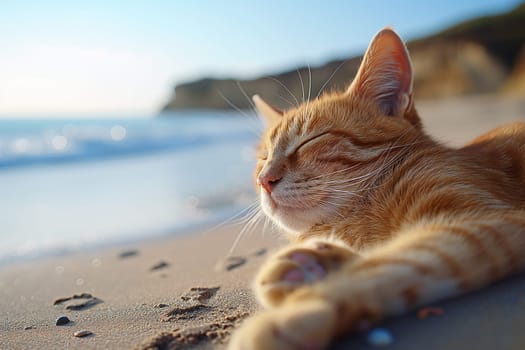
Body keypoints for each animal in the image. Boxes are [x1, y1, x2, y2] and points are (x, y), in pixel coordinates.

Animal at [228, 28, 524, 350]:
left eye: (309, 141)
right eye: (263, 158)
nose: (264, 179)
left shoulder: (483, 221)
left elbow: (390, 262)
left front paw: (302, 309)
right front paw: (317, 263)